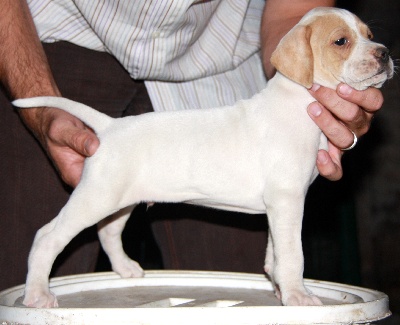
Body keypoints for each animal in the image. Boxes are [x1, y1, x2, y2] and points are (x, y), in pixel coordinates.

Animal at [13, 6, 394, 306]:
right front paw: (298, 296)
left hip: (120, 200)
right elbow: (292, 256)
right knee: (47, 237)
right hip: (96, 198)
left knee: (107, 232)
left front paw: (280, 288)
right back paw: (37, 295)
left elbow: (274, 254)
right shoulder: (288, 200)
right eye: (341, 41)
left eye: (369, 35)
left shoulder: (279, 206)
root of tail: (108, 127)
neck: (298, 101)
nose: (385, 53)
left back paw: (126, 269)